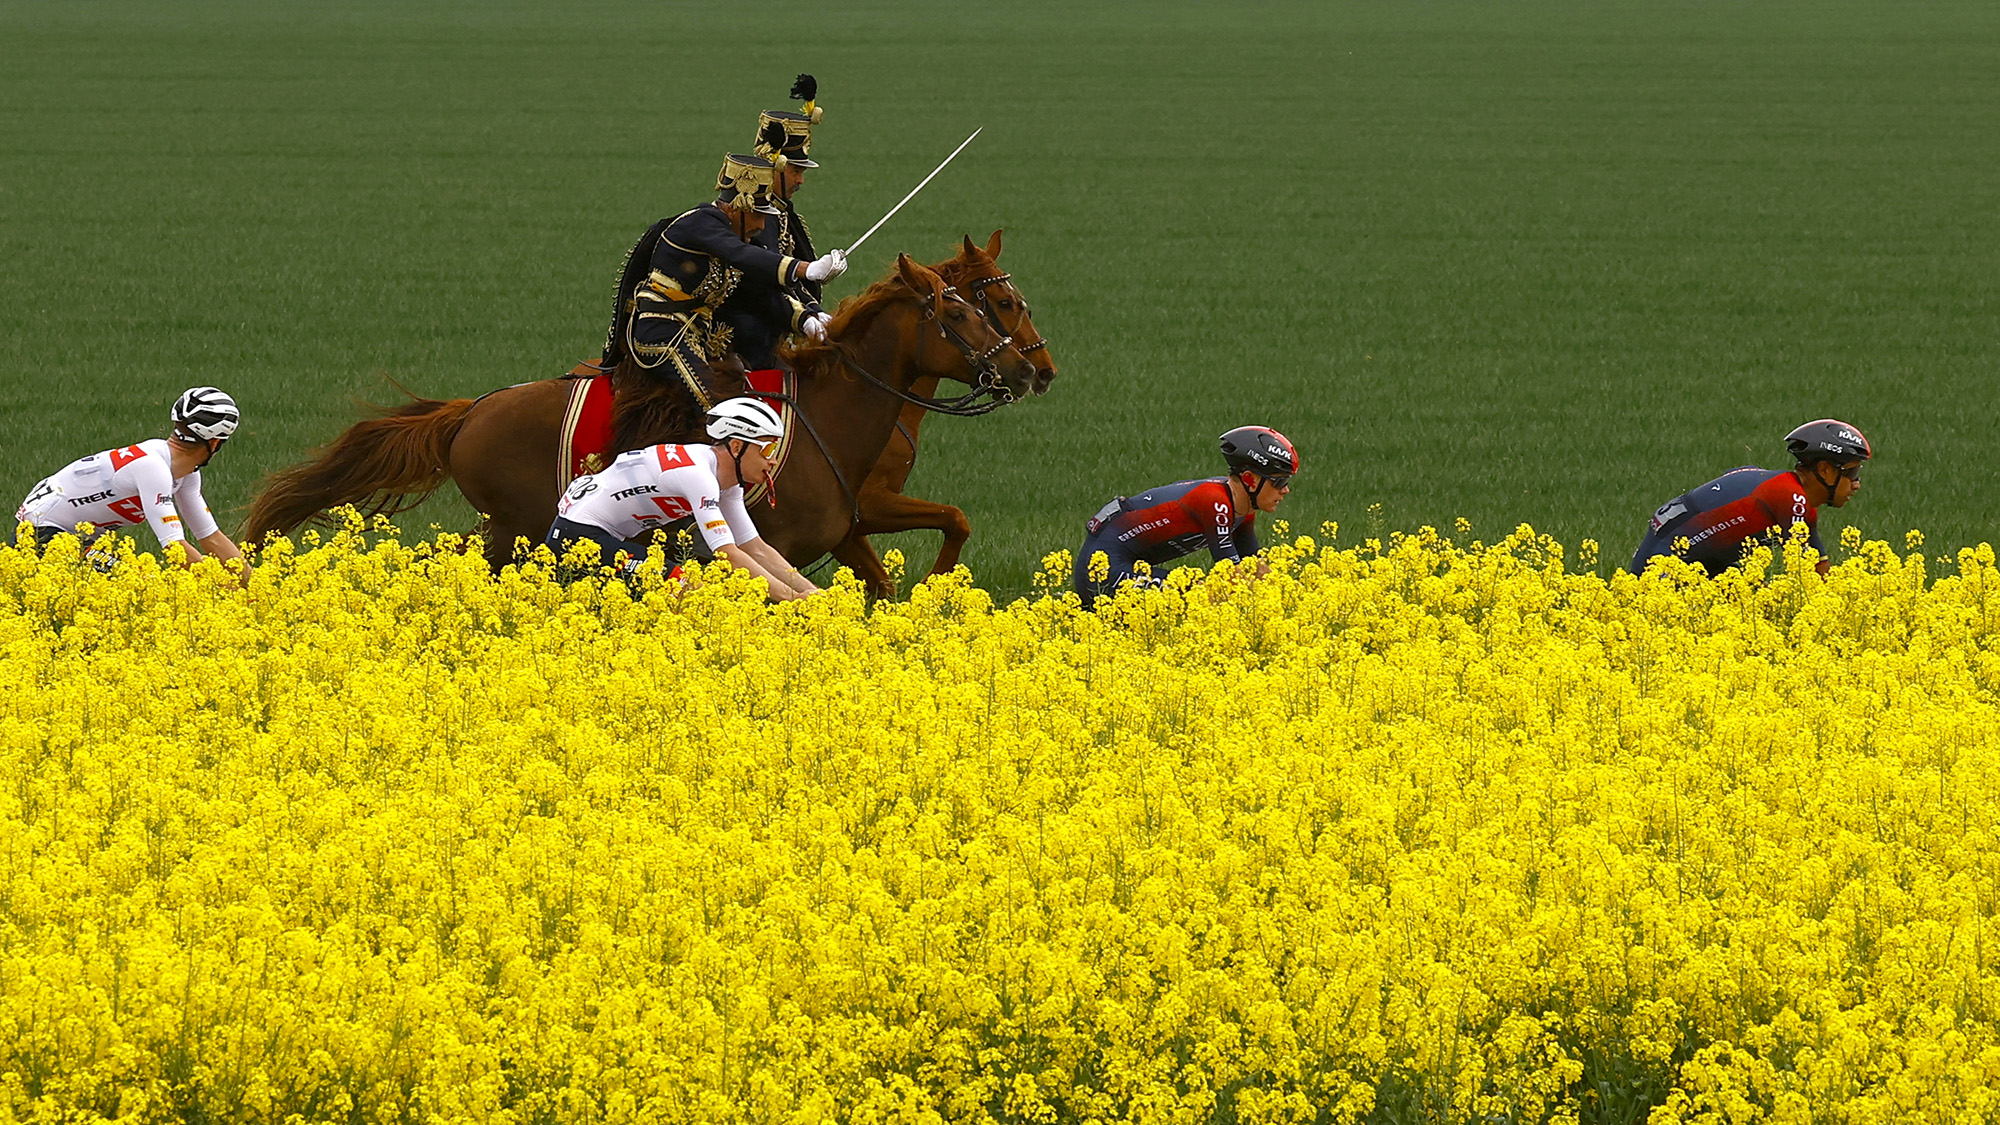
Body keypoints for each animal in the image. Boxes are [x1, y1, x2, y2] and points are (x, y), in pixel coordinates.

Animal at [238, 256, 1032, 568]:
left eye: (995, 304)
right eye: (962, 310)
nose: (1029, 371)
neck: (823, 427)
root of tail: (472, 412)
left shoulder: (841, 532)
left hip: (508, 530)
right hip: (520, 527)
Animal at [824, 226, 1064, 596]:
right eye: (1005, 302)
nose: (1039, 371)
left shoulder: (849, 526)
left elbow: (883, 584)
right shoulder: (865, 506)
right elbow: (955, 520)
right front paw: (931, 586)